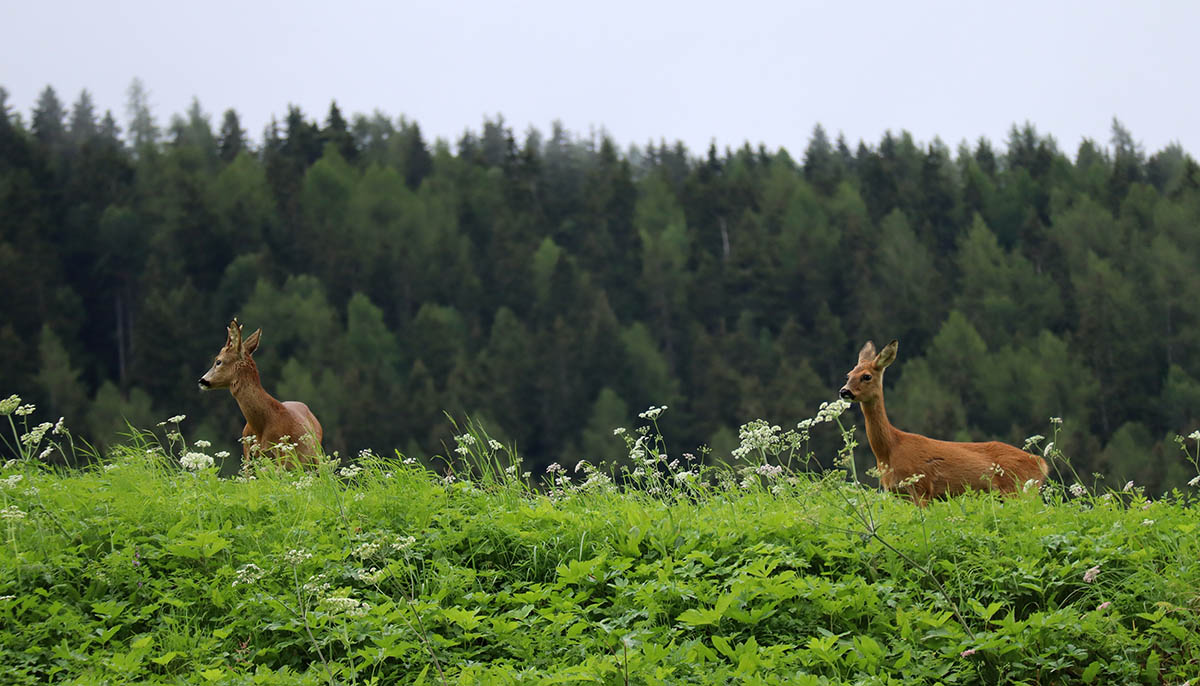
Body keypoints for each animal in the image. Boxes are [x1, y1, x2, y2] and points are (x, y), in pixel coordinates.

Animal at [200, 319, 324, 470]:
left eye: (218, 361)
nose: (202, 380)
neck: (261, 426)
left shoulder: (283, 456)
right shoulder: (248, 457)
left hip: (314, 458)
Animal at [840, 338, 1046, 503]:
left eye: (866, 376)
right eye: (848, 374)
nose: (844, 391)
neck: (890, 449)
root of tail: (1041, 462)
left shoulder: (921, 487)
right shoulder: (898, 493)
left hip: (1017, 489)